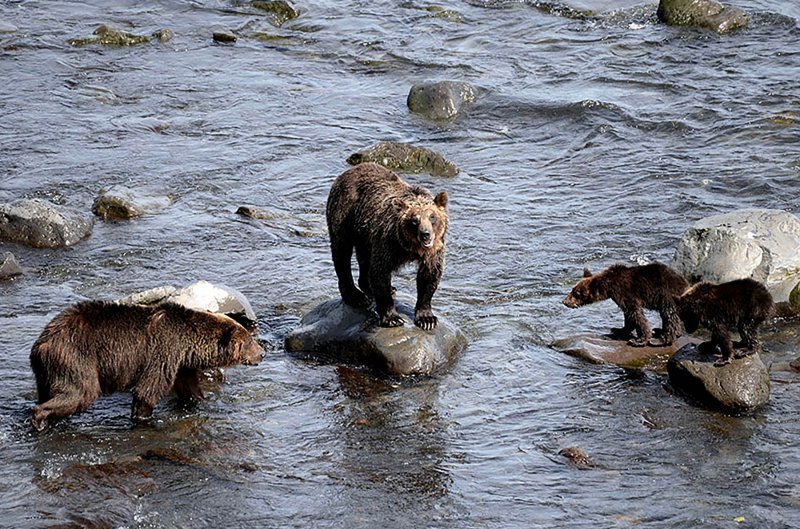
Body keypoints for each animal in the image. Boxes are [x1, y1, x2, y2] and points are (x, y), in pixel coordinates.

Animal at [29, 302, 262, 428]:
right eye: (250, 341)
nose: (262, 353)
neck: (187, 346)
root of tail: (41, 343)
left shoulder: (180, 364)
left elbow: (190, 388)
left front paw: (204, 401)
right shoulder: (164, 351)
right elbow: (148, 389)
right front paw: (144, 417)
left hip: (46, 371)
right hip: (77, 358)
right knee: (79, 393)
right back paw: (40, 419)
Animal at [326, 161, 450, 328]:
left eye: (432, 217)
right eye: (414, 220)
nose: (425, 234)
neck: (411, 247)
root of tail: (348, 171)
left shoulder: (434, 249)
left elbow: (429, 275)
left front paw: (427, 319)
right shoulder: (388, 243)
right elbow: (380, 272)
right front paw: (392, 317)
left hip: (364, 232)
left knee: (364, 257)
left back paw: (375, 287)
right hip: (344, 215)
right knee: (342, 254)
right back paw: (356, 296)